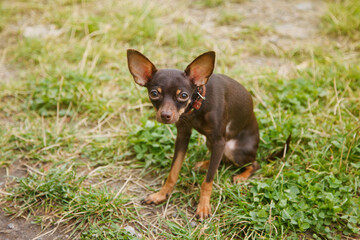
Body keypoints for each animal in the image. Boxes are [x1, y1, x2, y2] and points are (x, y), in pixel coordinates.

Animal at [127, 49, 262, 220]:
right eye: (154, 93)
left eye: (183, 95)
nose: (165, 115)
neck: (198, 104)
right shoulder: (183, 135)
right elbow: (173, 172)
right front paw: (161, 195)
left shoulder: (219, 141)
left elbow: (208, 181)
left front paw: (203, 207)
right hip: (210, 143)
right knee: (221, 161)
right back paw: (205, 164)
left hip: (233, 149)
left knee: (254, 164)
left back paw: (241, 176)